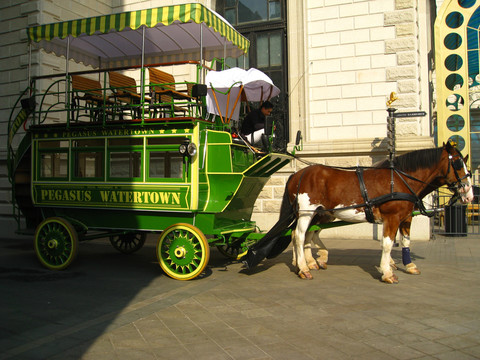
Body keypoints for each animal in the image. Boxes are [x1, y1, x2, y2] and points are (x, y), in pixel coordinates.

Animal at [284, 142, 472, 282]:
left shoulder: (405, 218)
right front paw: (387, 272)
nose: (469, 193)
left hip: (320, 213)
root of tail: (296, 175)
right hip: (307, 212)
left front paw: (409, 266)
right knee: (299, 235)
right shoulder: (392, 217)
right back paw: (303, 268)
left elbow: (405, 241)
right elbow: (387, 243)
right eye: (457, 163)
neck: (398, 180)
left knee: (306, 234)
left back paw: (309, 262)